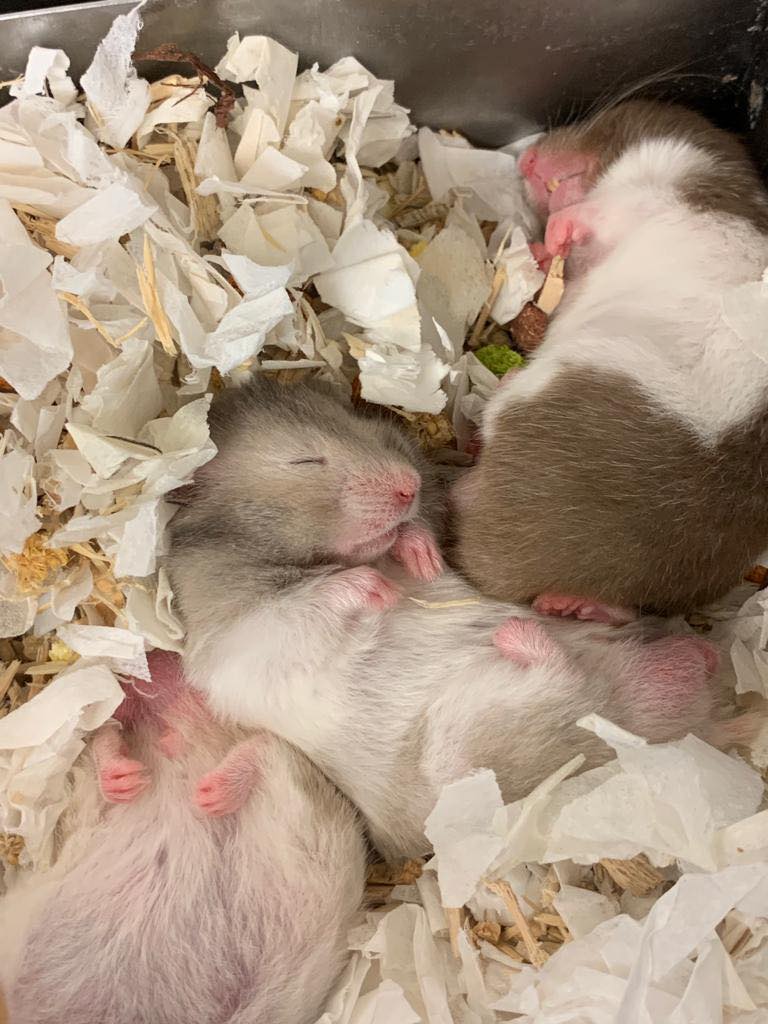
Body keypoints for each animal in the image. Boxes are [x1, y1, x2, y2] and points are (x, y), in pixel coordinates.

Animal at [0, 651, 366, 1024]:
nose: (157, 659)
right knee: (105, 741)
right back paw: (134, 778)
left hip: (311, 838)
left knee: (264, 748)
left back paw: (210, 792)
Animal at [166, 380, 757, 862]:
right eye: (305, 461)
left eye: (361, 424)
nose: (407, 483)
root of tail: (700, 717)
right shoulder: (247, 633)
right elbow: (312, 602)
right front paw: (379, 587)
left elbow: (420, 532)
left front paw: (420, 558)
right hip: (469, 748)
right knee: (566, 680)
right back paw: (523, 634)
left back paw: (565, 607)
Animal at [453, 99, 768, 624]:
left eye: (601, 121)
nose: (527, 158)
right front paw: (542, 253)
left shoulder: (647, 196)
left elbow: (589, 213)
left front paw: (556, 235)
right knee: (622, 608)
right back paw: (575, 606)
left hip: (538, 391)